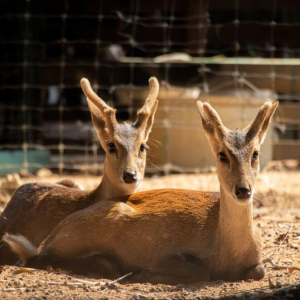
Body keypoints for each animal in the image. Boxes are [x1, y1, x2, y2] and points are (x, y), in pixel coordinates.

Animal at [3, 100, 278, 284]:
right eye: (222, 154)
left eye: (255, 153)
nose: (243, 190)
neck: (225, 252)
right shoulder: (169, 253)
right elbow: (199, 269)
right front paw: (145, 273)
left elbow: (259, 270)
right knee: (36, 258)